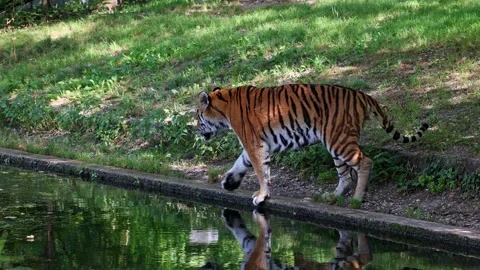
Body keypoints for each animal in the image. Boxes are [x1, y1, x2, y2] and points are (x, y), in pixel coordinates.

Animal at [195, 83, 428, 206]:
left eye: (198, 115)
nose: (196, 129)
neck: (224, 109)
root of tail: (363, 95)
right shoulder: (253, 146)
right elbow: (240, 164)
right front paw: (229, 183)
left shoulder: (254, 145)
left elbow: (261, 171)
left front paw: (261, 196)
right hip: (336, 144)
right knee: (345, 175)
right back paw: (331, 197)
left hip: (339, 141)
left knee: (365, 162)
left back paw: (357, 198)